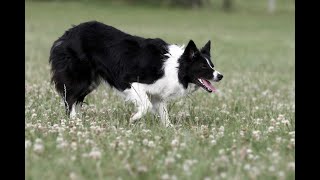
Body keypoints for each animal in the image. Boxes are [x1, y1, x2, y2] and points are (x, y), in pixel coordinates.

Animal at [49, 20, 222, 126]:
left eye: (212, 65)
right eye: (203, 67)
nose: (220, 76)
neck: (177, 67)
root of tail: (66, 34)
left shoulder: (157, 95)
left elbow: (165, 116)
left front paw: (170, 131)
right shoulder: (132, 82)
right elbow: (145, 105)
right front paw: (134, 119)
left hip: (90, 82)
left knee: (75, 99)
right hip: (80, 77)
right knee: (70, 98)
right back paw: (74, 121)